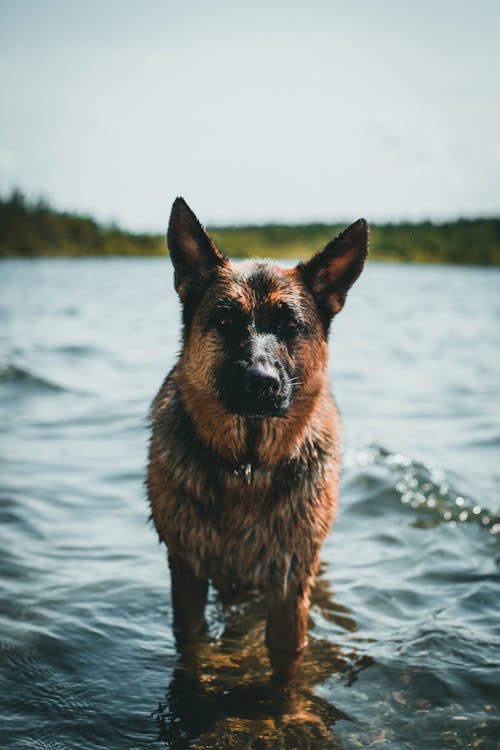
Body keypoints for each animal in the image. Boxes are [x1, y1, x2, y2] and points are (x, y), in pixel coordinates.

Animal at [147, 200, 368, 680]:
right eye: (227, 321)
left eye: (290, 326)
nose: (262, 383)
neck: (246, 466)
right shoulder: (186, 573)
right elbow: (192, 643)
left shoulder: (288, 584)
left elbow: (287, 657)